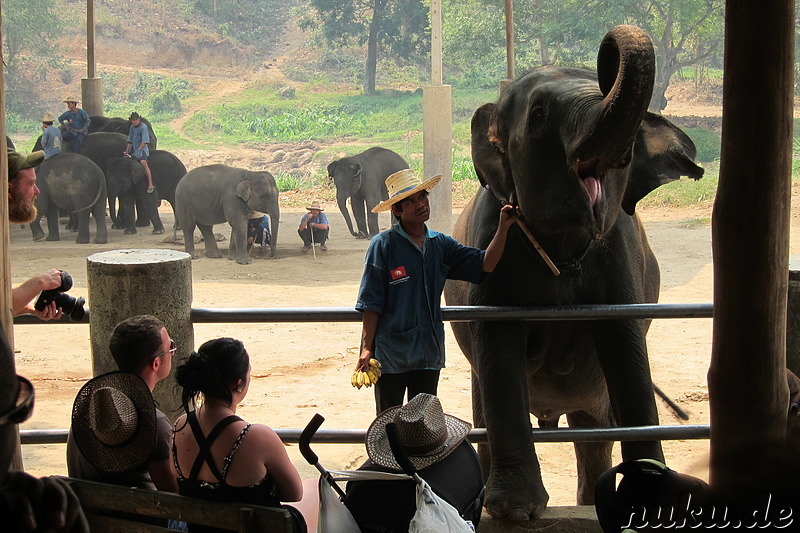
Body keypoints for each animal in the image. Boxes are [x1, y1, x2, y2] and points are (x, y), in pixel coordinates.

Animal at [440, 26, 704, 520]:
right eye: (540, 114)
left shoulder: (619, 255)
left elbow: (625, 347)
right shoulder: (490, 244)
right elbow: (498, 343)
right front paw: (515, 512)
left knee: (593, 432)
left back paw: (587, 502)